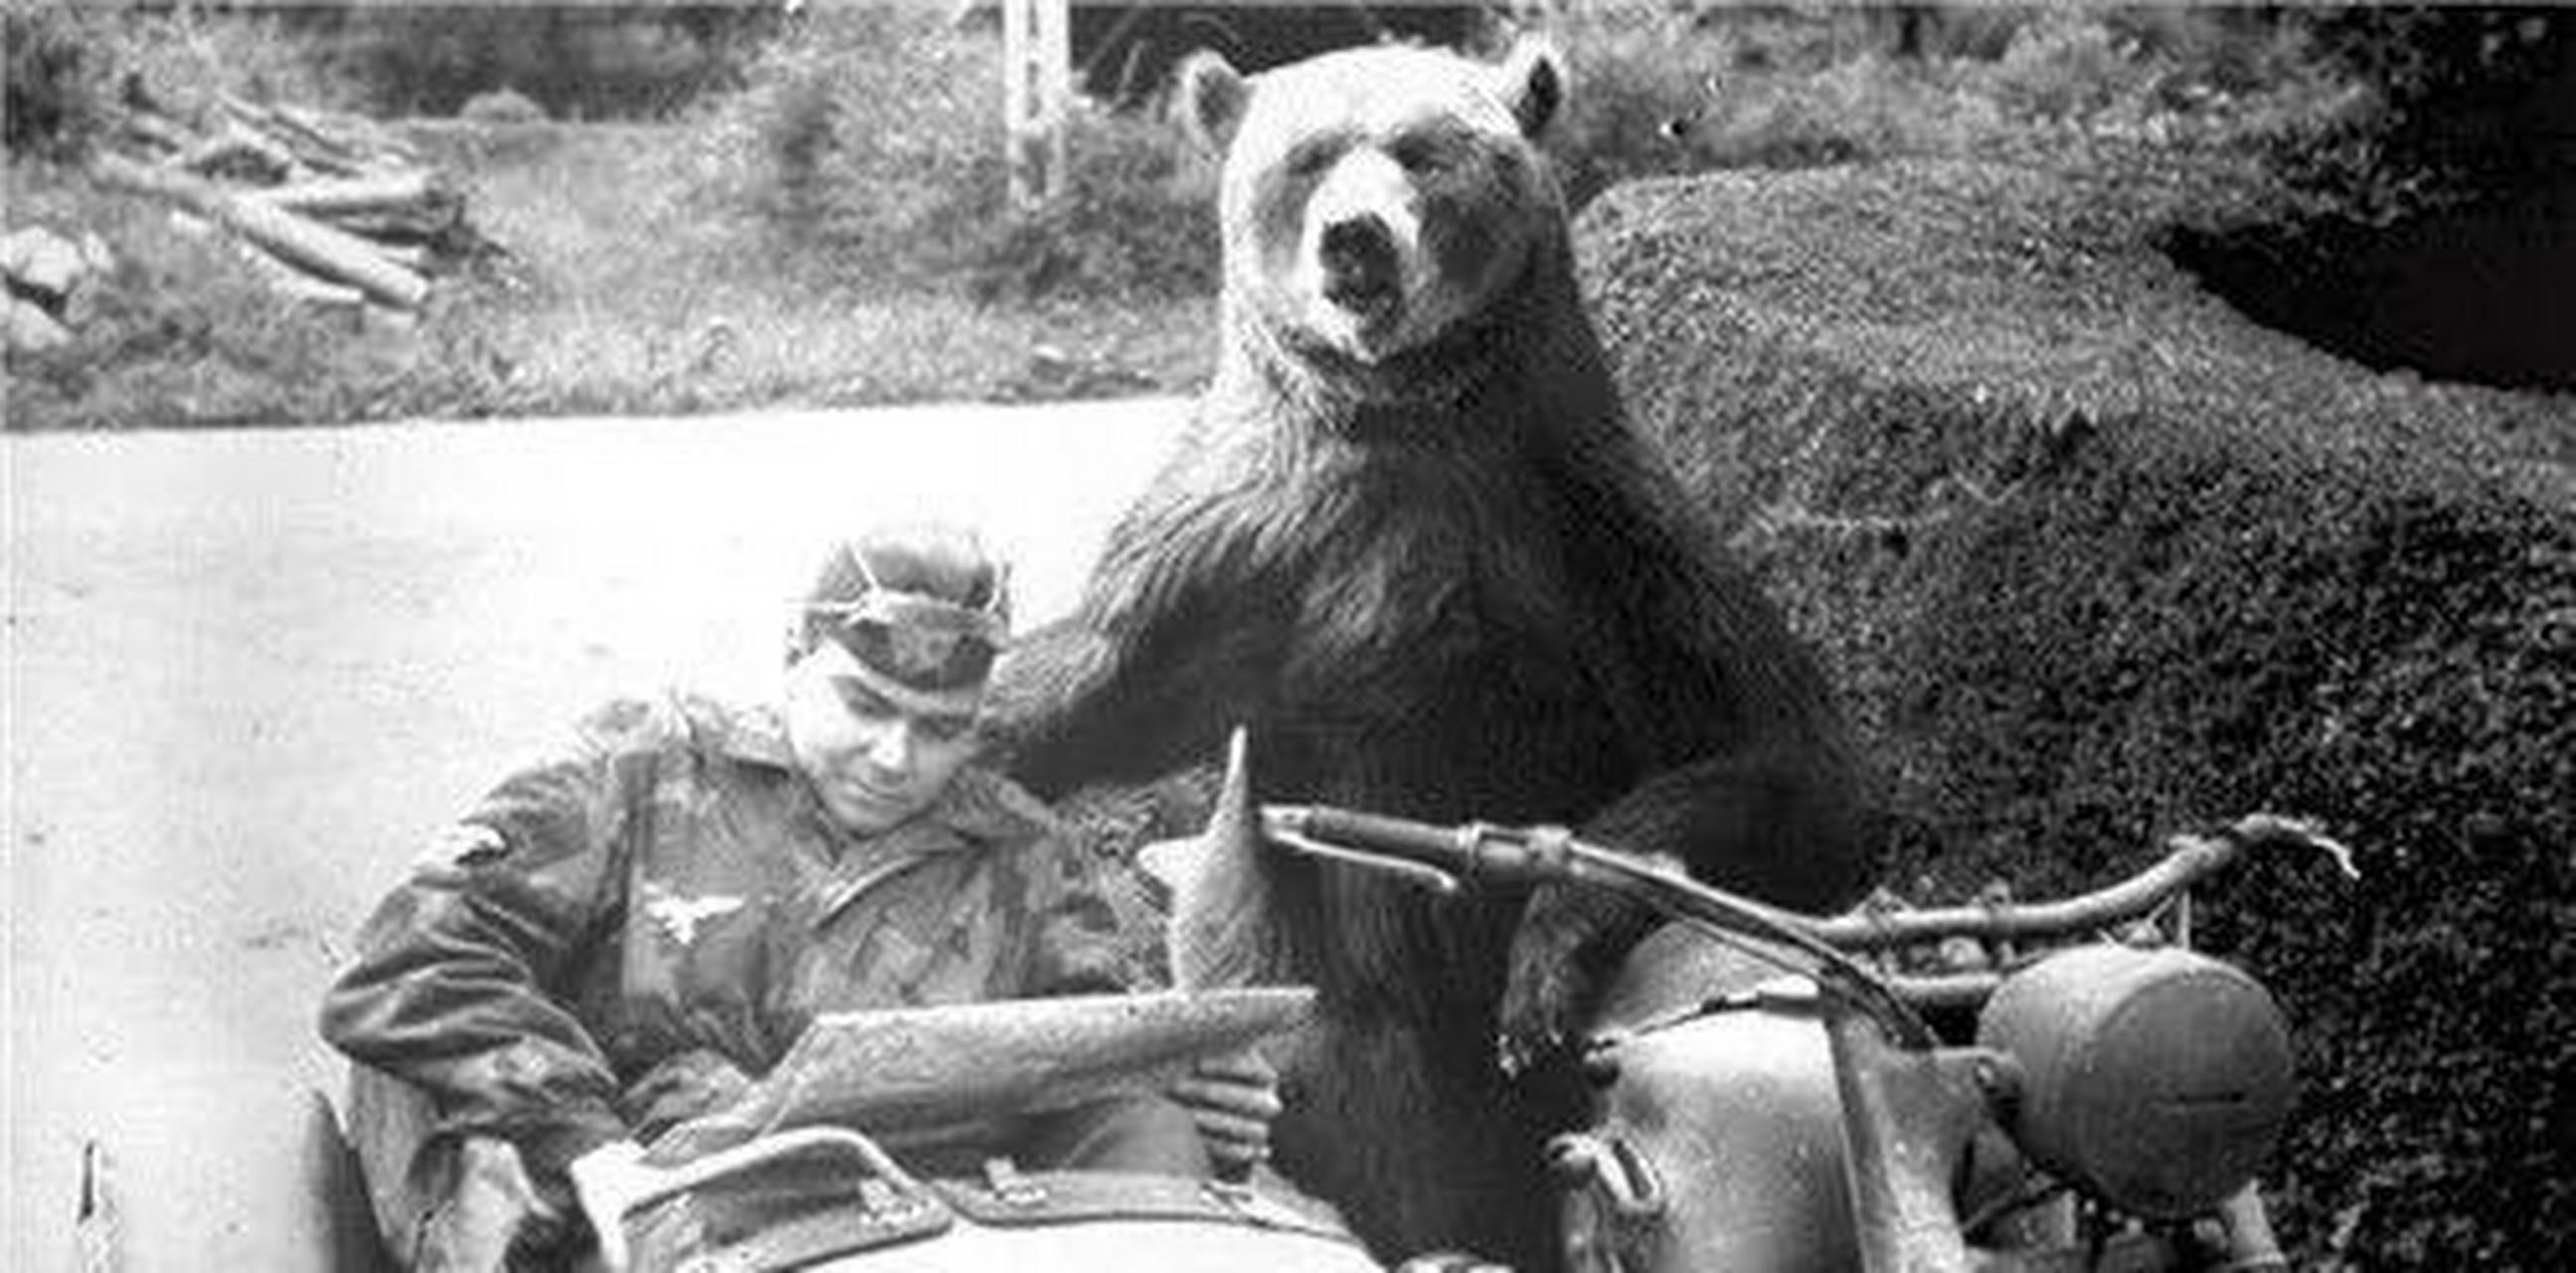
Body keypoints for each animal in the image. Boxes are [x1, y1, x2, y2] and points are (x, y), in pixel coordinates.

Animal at [986, 36, 1871, 1269]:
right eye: (1307, 156)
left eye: (1420, 151)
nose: (1354, 238)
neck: (1405, 418)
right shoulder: (1240, 557)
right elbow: (1087, 683)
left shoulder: (1598, 539)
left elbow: (1788, 761)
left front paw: (1543, 961)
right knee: (1363, 1092)